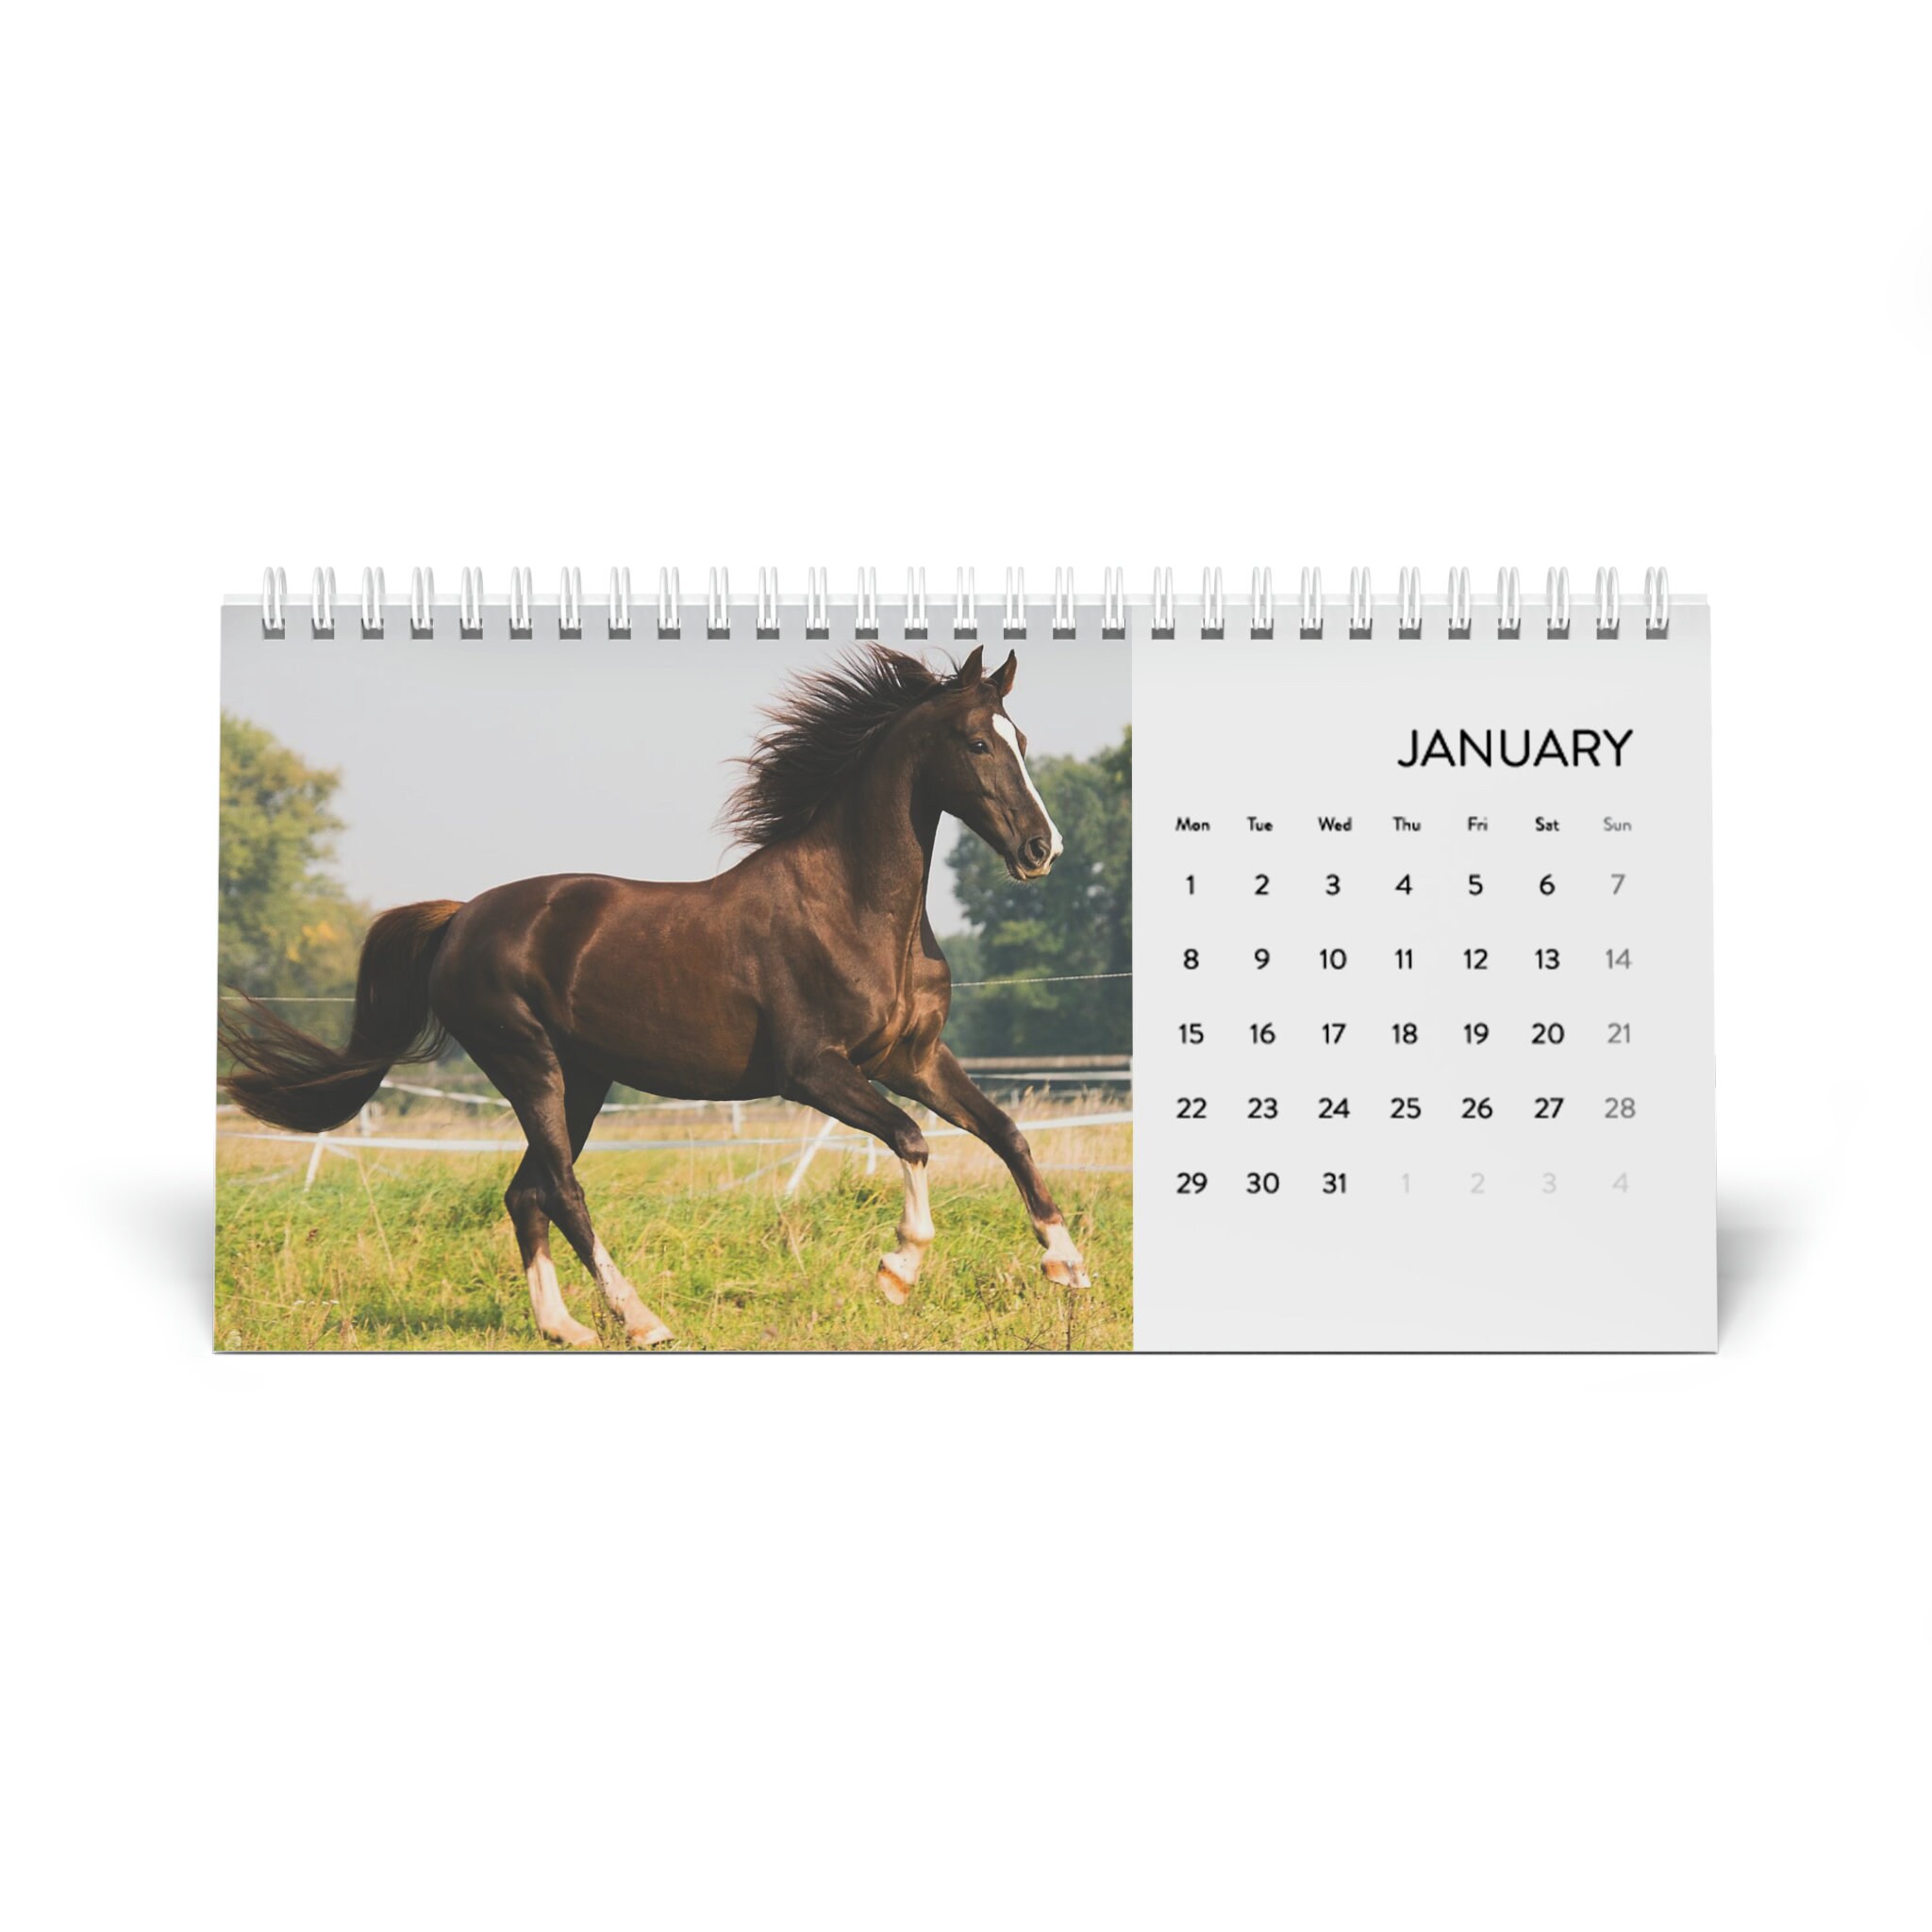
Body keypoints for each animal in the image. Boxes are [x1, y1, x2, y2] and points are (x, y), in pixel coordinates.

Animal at [219, 644, 1093, 1347]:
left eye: (1022, 741)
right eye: (977, 742)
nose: (1040, 850)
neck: (854, 910)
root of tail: (461, 918)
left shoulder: (913, 1058)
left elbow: (1006, 1132)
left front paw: (1068, 1264)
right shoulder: (813, 1072)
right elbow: (913, 1140)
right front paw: (897, 1270)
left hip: (583, 1078)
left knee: (525, 1191)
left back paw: (566, 1327)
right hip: (528, 1064)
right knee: (562, 1189)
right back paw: (640, 1319)